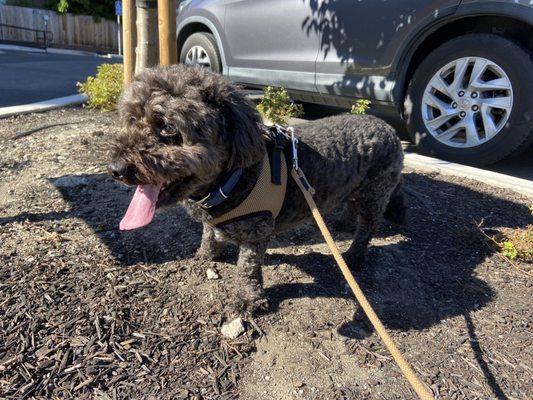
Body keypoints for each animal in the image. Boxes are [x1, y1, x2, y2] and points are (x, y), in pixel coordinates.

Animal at [107, 65, 404, 316]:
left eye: (169, 127)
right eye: (131, 118)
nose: (115, 169)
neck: (232, 179)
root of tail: (388, 128)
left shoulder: (256, 232)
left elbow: (247, 269)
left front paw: (248, 300)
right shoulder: (214, 222)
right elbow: (208, 237)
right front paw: (203, 257)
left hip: (375, 191)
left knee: (368, 226)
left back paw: (354, 255)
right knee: (350, 202)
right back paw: (343, 223)